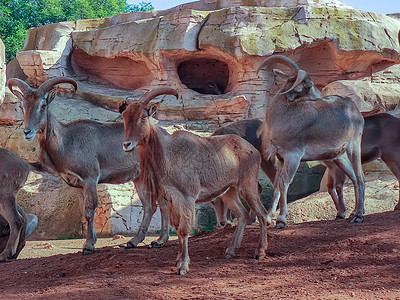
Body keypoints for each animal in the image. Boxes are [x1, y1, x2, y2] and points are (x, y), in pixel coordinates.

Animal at [120, 86, 268, 274]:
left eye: (143, 117)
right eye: (124, 117)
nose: (127, 145)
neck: (168, 155)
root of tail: (252, 150)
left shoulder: (187, 197)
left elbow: (184, 230)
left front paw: (183, 266)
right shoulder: (172, 198)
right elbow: (176, 226)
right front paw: (177, 261)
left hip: (247, 186)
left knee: (261, 213)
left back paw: (260, 252)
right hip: (229, 191)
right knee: (242, 214)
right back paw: (231, 250)